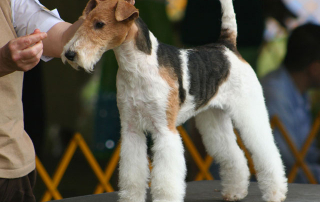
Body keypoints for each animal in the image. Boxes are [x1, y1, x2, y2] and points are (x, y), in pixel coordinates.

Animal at [61, 0, 288, 200]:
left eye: (100, 24)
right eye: (83, 22)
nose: (70, 54)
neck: (136, 66)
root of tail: (226, 46)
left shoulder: (164, 130)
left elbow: (166, 178)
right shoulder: (131, 129)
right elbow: (132, 174)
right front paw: (131, 198)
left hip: (250, 110)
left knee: (267, 151)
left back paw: (275, 193)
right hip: (213, 117)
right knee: (234, 155)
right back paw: (235, 192)